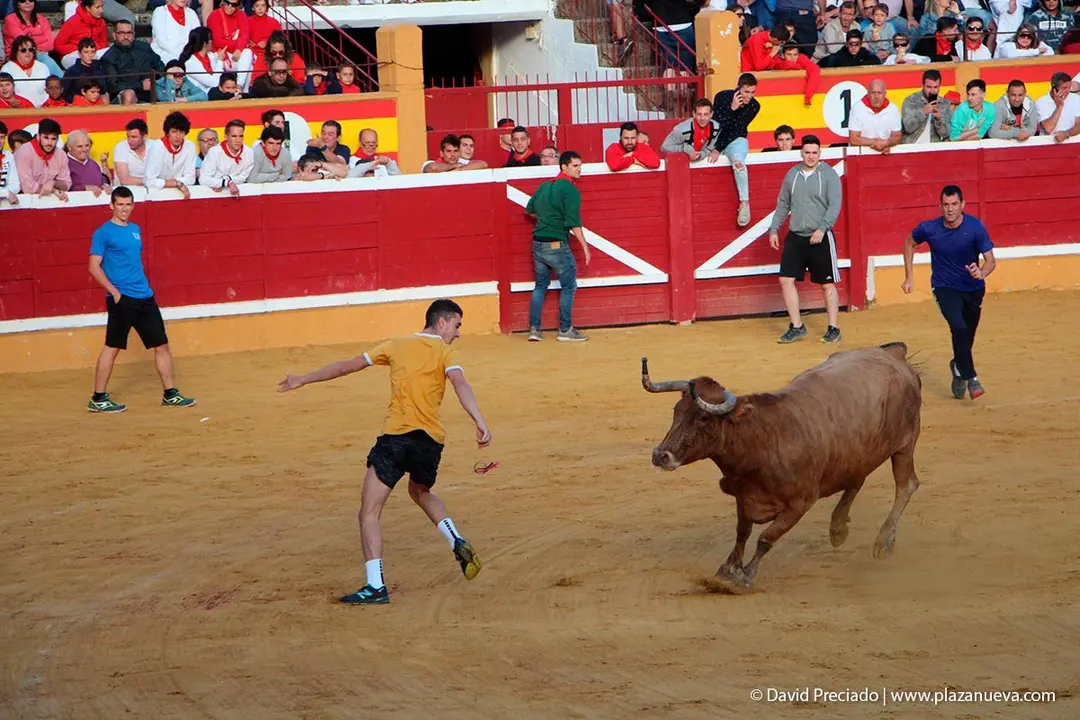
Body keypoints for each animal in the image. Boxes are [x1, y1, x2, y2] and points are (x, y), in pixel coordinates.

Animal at [641, 341, 923, 594]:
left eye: (702, 418)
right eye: (676, 410)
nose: (660, 455)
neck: (762, 442)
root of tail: (895, 355)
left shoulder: (800, 503)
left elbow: (766, 538)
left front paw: (744, 577)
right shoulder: (745, 497)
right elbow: (742, 533)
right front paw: (727, 571)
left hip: (905, 444)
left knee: (906, 485)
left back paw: (884, 542)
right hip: (856, 453)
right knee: (857, 479)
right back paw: (838, 528)